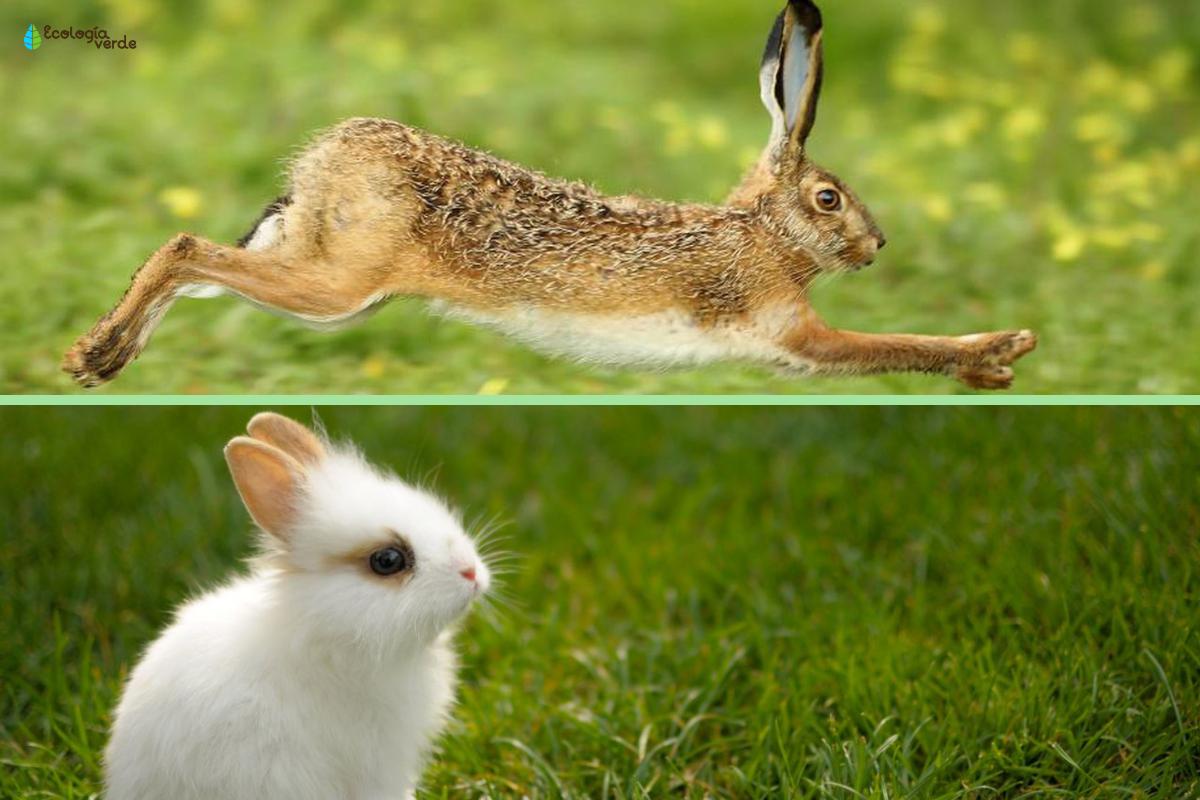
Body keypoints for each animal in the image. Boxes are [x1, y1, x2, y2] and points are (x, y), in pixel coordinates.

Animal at [64, 0, 1035, 390]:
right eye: (830, 200)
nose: (878, 247)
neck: (760, 230)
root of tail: (324, 156)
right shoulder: (783, 329)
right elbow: (882, 347)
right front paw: (996, 354)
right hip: (338, 285)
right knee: (187, 249)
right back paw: (97, 356)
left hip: (313, 264)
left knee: (196, 262)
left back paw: (102, 354)